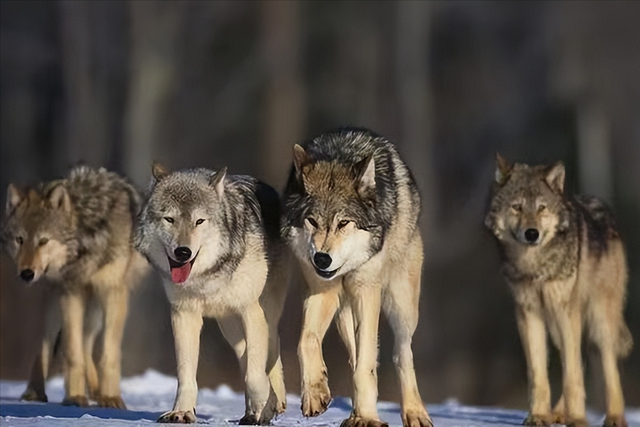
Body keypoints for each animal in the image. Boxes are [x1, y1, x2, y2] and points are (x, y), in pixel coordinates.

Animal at [0, 166, 146, 410]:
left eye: (43, 241)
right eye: (19, 240)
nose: (26, 274)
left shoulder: (113, 292)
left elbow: (107, 353)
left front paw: (111, 398)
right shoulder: (70, 292)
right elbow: (72, 352)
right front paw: (75, 397)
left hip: (95, 306)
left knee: (87, 343)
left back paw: (97, 392)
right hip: (57, 302)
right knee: (50, 344)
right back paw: (34, 392)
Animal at [135, 164, 290, 424]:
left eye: (199, 221)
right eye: (170, 219)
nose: (183, 252)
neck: (207, 276)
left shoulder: (250, 311)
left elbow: (256, 374)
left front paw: (263, 408)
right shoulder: (183, 315)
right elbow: (186, 373)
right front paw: (182, 412)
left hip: (265, 313)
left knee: (271, 352)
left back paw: (272, 405)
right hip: (229, 327)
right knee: (244, 356)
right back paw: (251, 412)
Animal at [280, 127, 430, 427]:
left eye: (343, 223)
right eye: (312, 221)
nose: (322, 259)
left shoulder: (366, 290)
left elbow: (367, 364)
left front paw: (368, 418)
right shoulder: (322, 290)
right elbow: (306, 341)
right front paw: (315, 393)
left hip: (401, 305)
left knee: (401, 352)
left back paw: (414, 413)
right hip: (343, 312)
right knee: (354, 356)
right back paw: (355, 411)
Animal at [484, 155, 632, 427]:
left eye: (542, 208)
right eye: (517, 207)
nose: (532, 233)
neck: (535, 267)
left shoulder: (566, 313)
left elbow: (572, 376)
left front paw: (578, 420)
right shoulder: (528, 315)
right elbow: (539, 374)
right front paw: (539, 416)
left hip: (599, 321)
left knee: (607, 368)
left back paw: (614, 417)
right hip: (557, 326)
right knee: (576, 362)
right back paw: (558, 413)